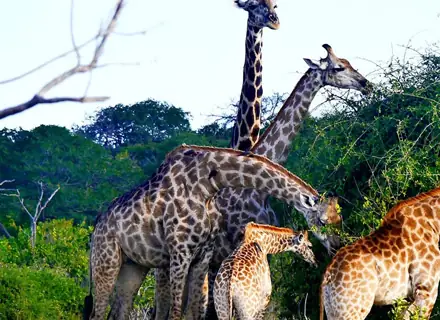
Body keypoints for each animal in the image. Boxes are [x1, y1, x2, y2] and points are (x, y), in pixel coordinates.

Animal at [84, 145, 336, 320]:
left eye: (338, 218)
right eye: (323, 222)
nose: (335, 246)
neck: (208, 185)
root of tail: (97, 227)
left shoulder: (203, 254)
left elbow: (194, 312)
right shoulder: (180, 252)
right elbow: (176, 312)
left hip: (134, 266)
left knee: (118, 311)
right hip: (106, 261)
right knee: (97, 313)